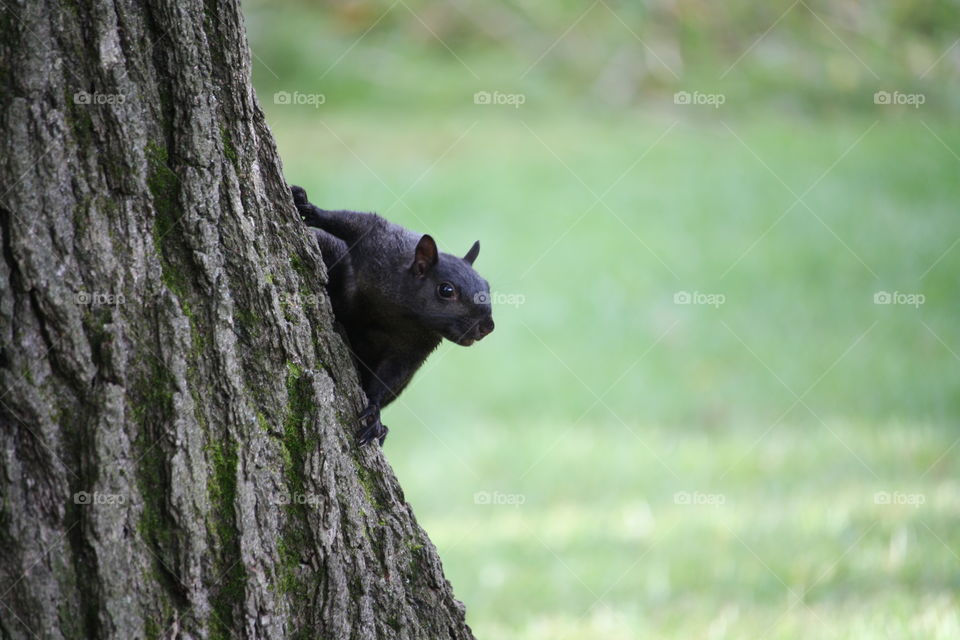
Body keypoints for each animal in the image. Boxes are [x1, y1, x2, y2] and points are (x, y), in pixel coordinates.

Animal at [290, 184, 496, 444]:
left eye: (487, 286)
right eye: (446, 290)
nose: (488, 326)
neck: (402, 316)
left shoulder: (412, 350)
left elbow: (389, 377)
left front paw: (374, 411)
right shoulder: (382, 246)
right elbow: (359, 222)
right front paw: (308, 207)